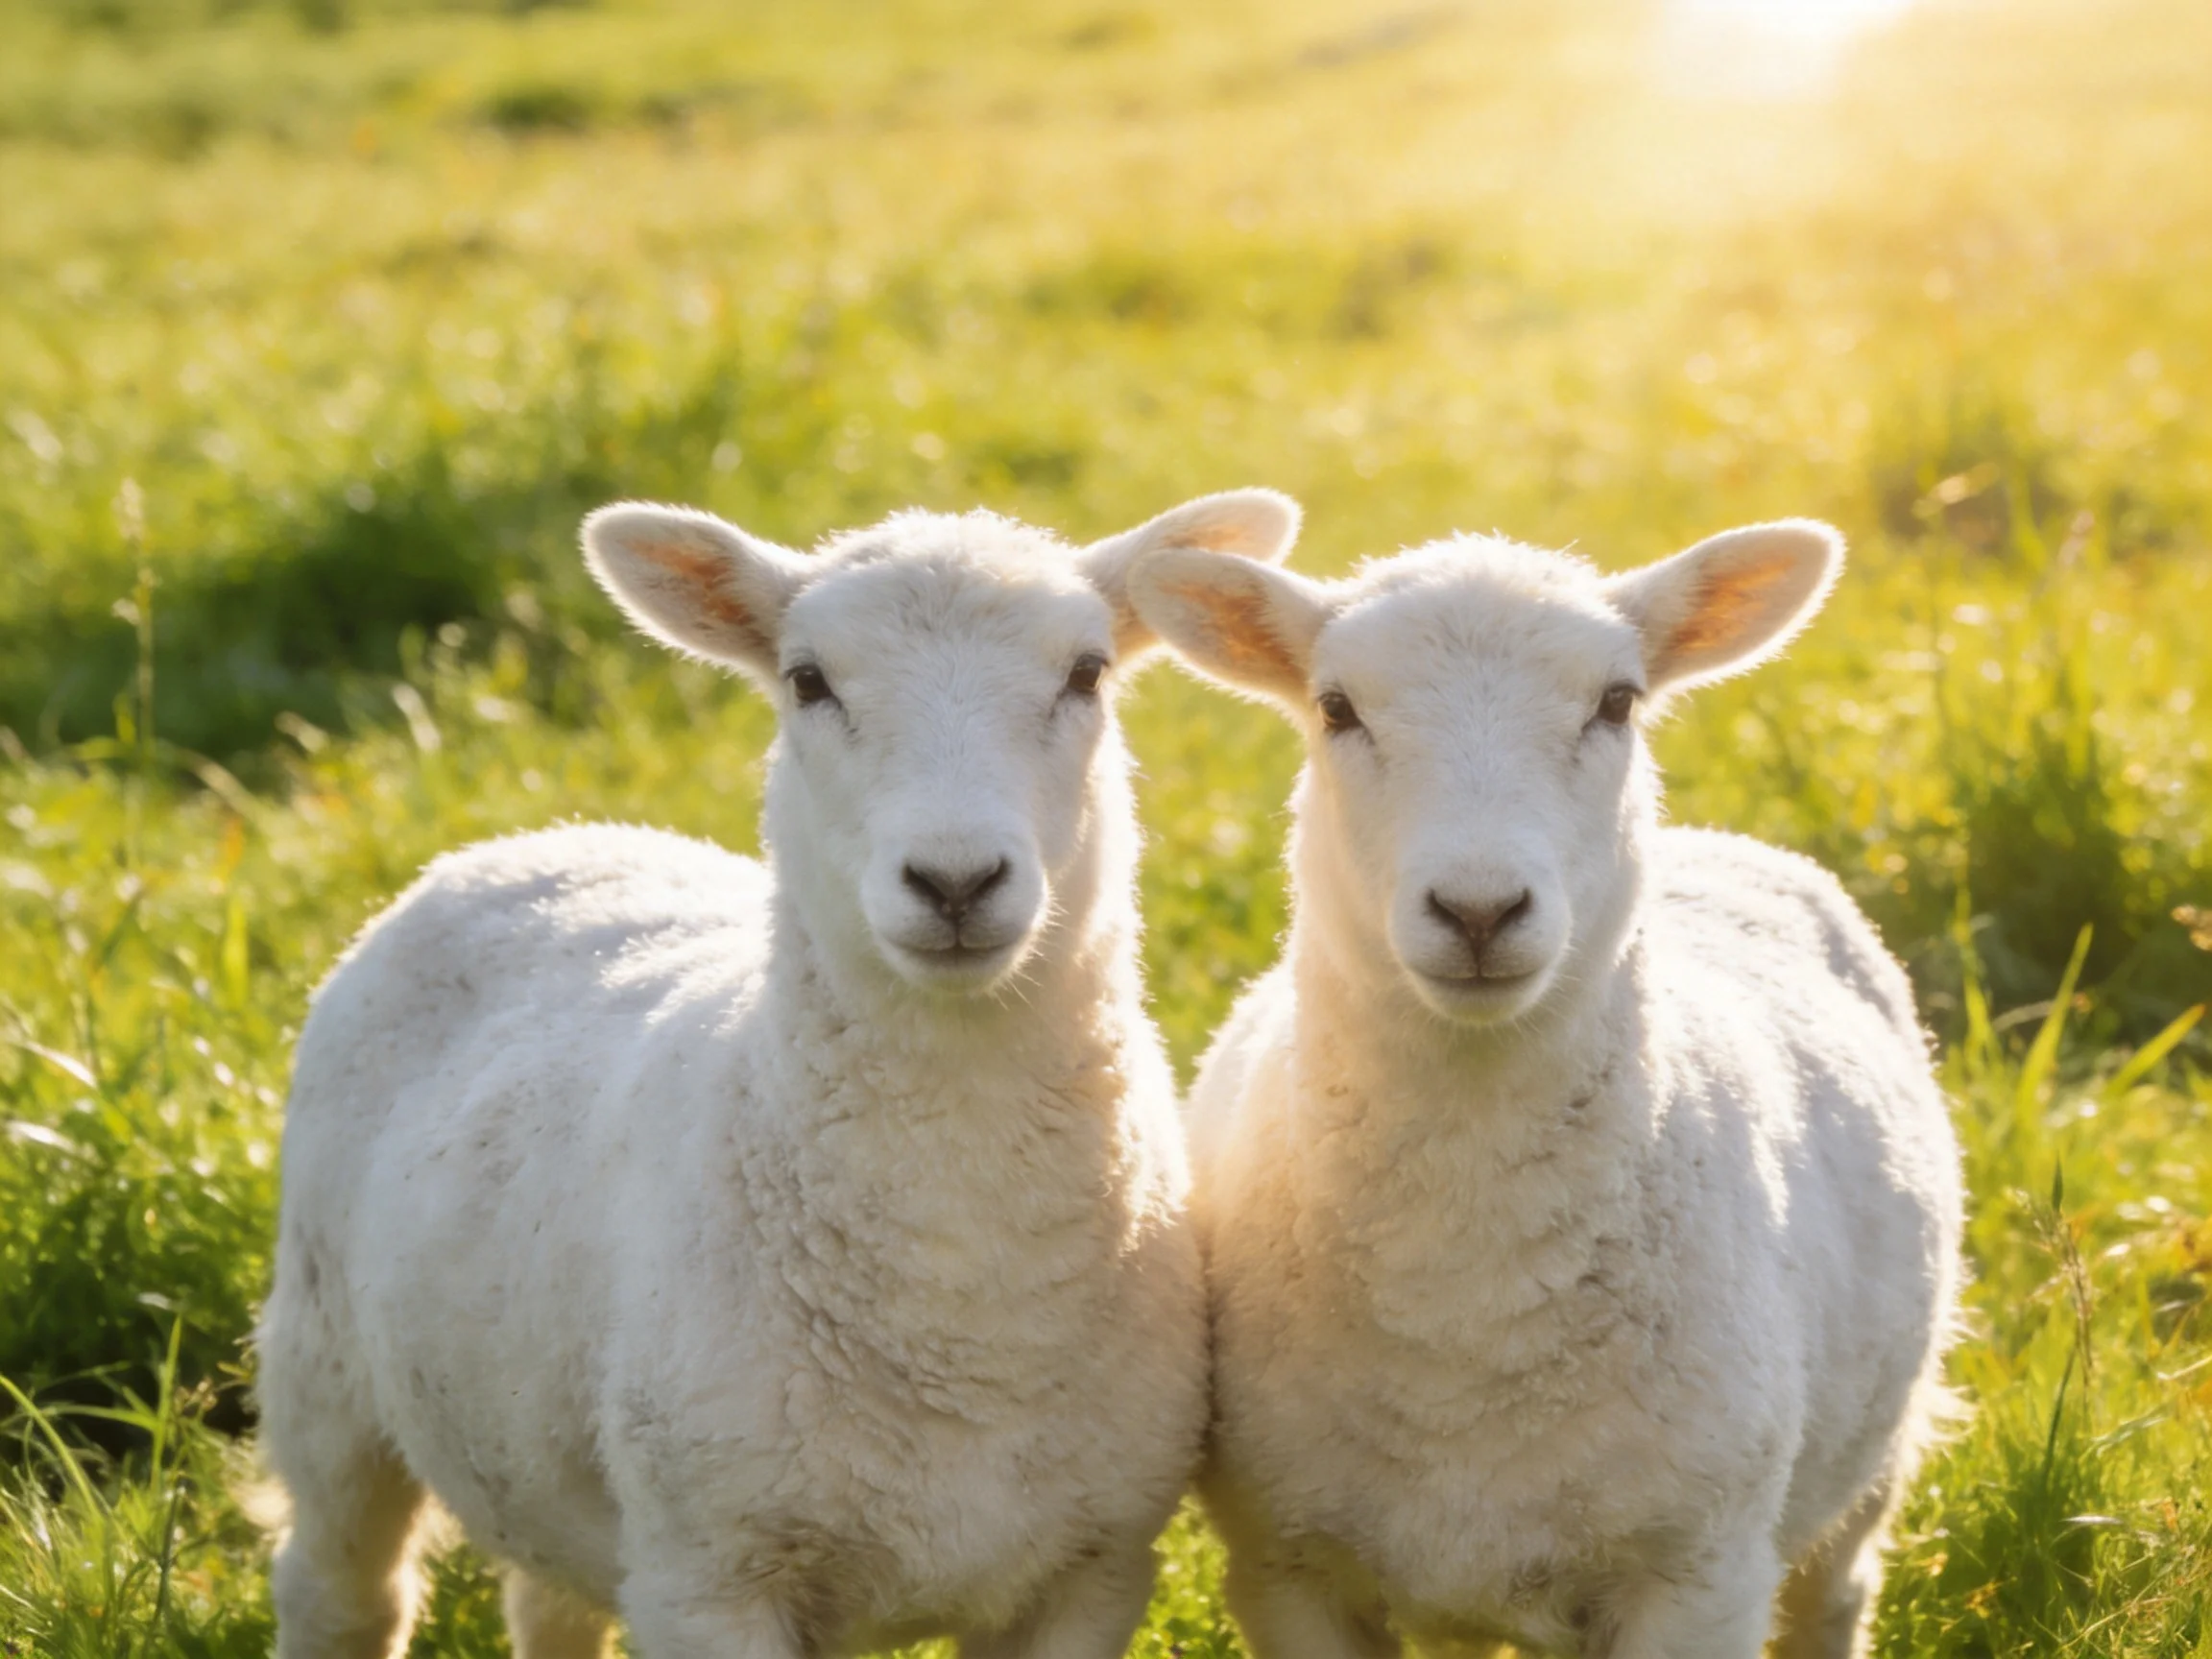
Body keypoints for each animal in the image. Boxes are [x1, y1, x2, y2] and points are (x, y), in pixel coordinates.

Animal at [256, 487, 1302, 1659]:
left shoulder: (1095, 1567)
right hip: (323, 1361)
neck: (966, 1303)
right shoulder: (709, 1575)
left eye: (1085, 673)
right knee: (340, 1586)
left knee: (547, 1598)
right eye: (808, 680)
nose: (955, 880)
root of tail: (531, 842)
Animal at [1126, 519, 1964, 1659]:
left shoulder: (1699, 1571)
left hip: (1869, 1455)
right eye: (1336, 707)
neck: (1465, 1302)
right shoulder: (1286, 1567)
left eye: (1616, 701)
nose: (1480, 911)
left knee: (1836, 1593)